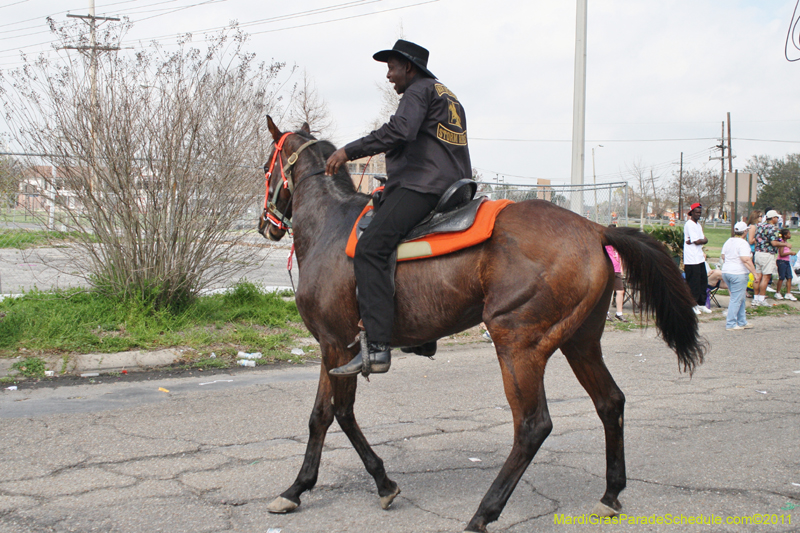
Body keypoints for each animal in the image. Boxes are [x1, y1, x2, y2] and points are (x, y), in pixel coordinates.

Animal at [260, 117, 704, 532]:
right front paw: (299, 488)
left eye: (266, 166)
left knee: (533, 426)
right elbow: (321, 415)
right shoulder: (333, 348)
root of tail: (595, 229)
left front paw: (377, 482)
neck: (330, 227)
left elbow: (340, 413)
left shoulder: (339, 344)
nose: (267, 223)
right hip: (580, 342)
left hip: (517, 343)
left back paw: (484, 512)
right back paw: (611, 494)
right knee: (610, 402)